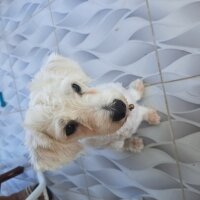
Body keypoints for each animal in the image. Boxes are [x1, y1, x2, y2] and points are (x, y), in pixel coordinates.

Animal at [24, 54, 160, 171]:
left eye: (75, 86)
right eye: (69, 128)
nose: (119, 108)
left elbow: (135, 100)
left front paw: (151, 114)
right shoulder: (113, 145)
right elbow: (122, 145)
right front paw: (134, 144)